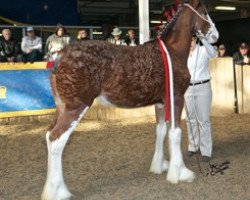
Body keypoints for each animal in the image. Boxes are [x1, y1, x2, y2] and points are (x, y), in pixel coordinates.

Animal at [41, 0, 219, 199]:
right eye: (205, 12)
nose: (215, 35)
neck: (172, 50)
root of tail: (62, 55)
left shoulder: (160, 103)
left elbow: (160, 131)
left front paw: (159, 166)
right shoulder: (176, 98)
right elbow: (175, 133)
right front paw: (180, 173)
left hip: (62, 108)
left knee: (48, 135)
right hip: (76, 107)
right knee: (56, 140)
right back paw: (58, 191)